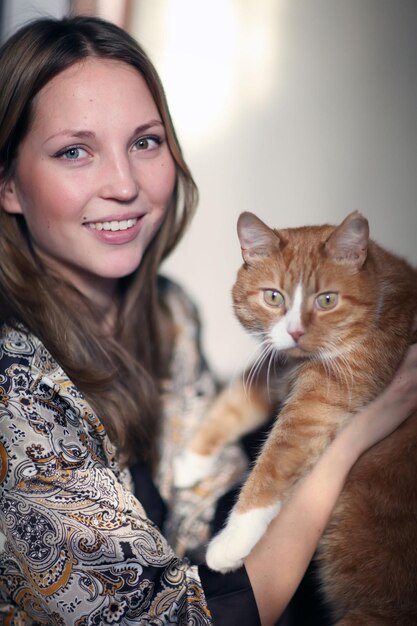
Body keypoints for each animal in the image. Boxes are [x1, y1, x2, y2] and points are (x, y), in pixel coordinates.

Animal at [172, 211, 416, 624]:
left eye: (327, 300)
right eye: (274, 297)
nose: (296, 331)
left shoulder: (318, 402)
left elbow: (273, 461)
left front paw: (231, 542)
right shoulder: (273, 368)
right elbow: (231, 405)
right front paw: (191, 462)